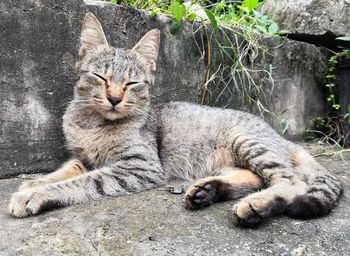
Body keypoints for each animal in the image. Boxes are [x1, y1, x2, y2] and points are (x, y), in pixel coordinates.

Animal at [8, 13, 342, 227]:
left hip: (247, 141)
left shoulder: (139, 166)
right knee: (255, 177)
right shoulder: (84, 158)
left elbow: (85, 181)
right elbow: (65, 171)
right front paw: (35, 182)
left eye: (132, 83)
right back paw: (208, 191)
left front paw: (36, 194)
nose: (114, 98)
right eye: (100, 77)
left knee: (290, 181)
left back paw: (256, 205)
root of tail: (283, 139)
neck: (92, 123)